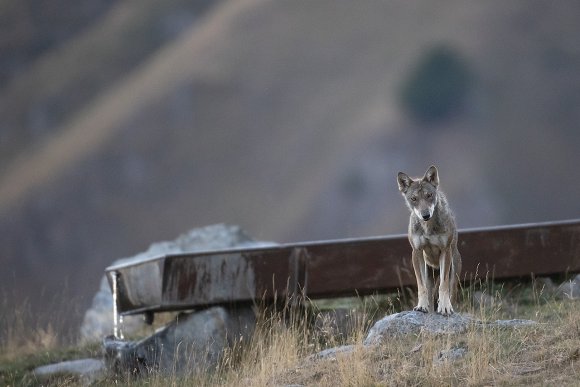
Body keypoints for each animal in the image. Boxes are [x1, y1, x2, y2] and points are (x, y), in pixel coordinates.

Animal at [394, 165, 462, 316]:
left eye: (429, 195)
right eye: (414, 198)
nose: (425, 215)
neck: (428, 227)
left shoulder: (445, 250)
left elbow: (443, 285)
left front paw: (445, 307)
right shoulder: (416, 252)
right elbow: (421, 286)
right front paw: (421, 306)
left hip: (453, 269)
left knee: (451, 292)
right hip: (428, 272)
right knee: (430, 296)